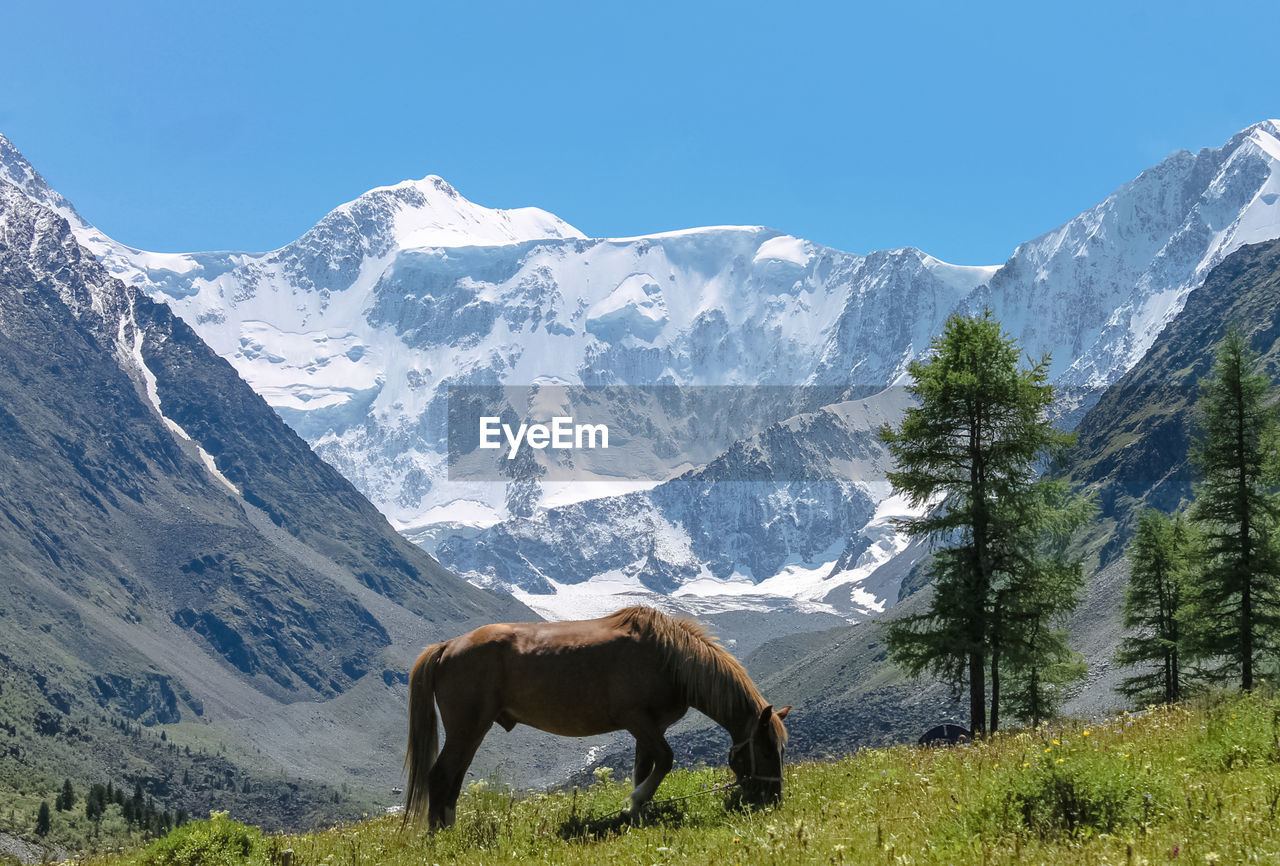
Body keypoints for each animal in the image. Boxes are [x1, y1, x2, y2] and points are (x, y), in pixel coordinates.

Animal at [407, 603, 788, 828]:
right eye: (767, 749)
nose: (773, 798)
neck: (669, 657)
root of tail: (447, 646)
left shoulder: (650, 728)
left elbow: (644, 768)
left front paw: (637, 811)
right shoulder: (638, 720)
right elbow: (665, 760)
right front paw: (634, 803)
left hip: (473, 730)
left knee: (454, 777)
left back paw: (448, 825)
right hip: (467, 727)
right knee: (440, 775)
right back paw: (439, 836)